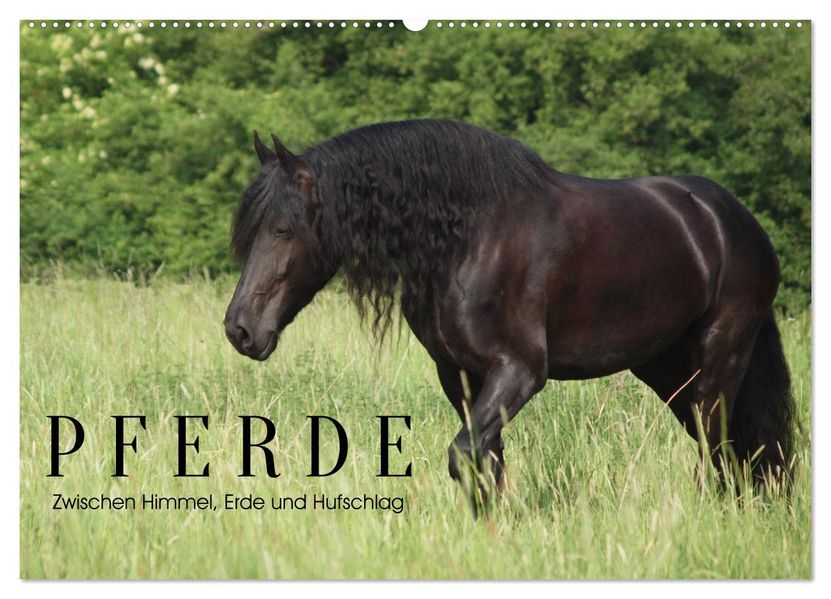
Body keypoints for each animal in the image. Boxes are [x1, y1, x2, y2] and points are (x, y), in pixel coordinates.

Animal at [224, 119, 794, 507]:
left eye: (283, 230)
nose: (240, 329)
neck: (469, 240)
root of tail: (732, 220)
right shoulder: (462, 376)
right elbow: (485, 463)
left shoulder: (519, 371)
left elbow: (464, 456)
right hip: (668, 368)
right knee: (731, 447)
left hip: (720, 360)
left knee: (721, 447)